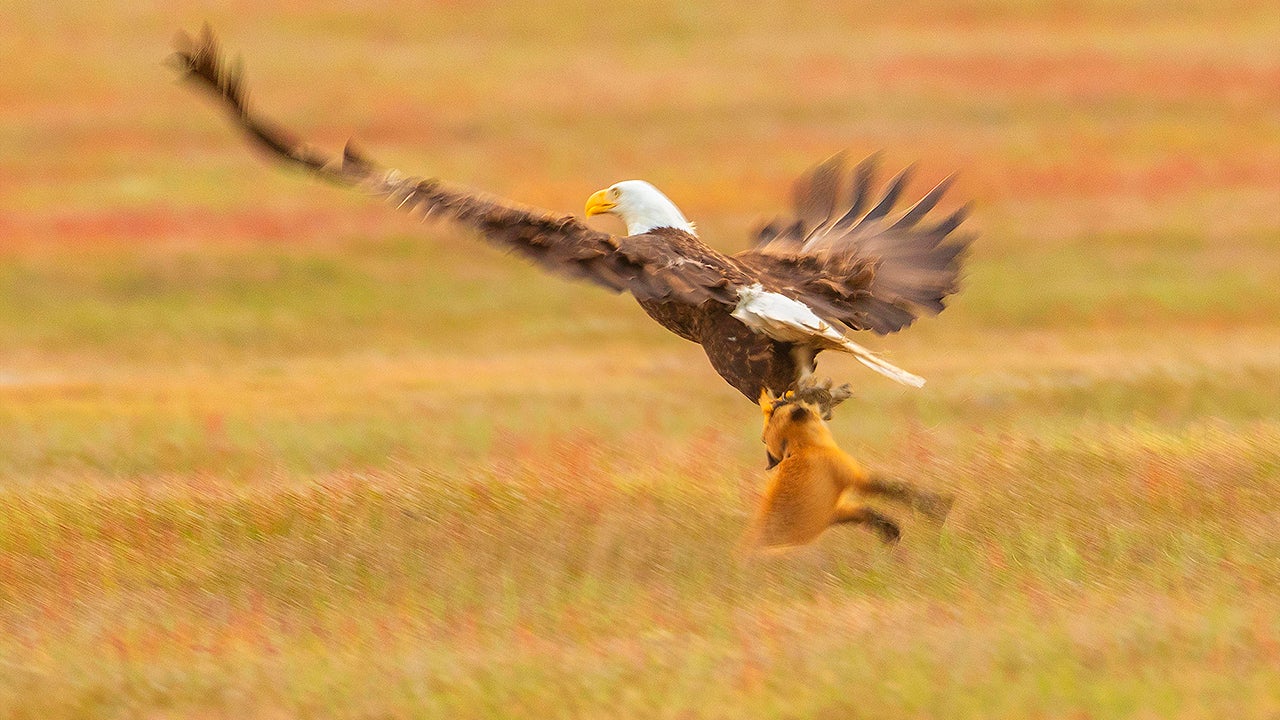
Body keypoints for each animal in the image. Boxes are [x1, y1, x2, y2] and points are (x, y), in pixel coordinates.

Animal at [741, 389, 954, 552]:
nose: (782, 395)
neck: (804, 447)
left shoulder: (835, 511)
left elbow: (873, 515)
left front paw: (892, 533)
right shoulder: (857, 480)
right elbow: (901, 489)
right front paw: (939, 508)